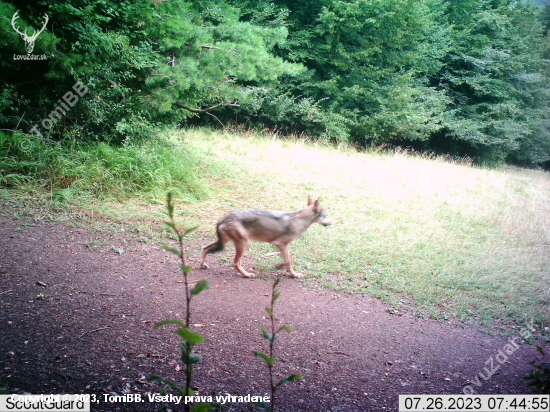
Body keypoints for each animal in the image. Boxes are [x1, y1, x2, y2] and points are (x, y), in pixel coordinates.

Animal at [202, 196, 332, 278]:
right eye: (326, 215)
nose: (331, 223)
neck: (300, 220)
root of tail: (223, 219)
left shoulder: (284, 245)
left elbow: (289, 260)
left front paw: (287, 270)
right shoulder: (281, 243)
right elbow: (290, 261)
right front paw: (290, 272)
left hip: (225, 242)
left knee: (205, 248)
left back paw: (202, 265)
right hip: (242, 244)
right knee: (235, 263)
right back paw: (247, 275)